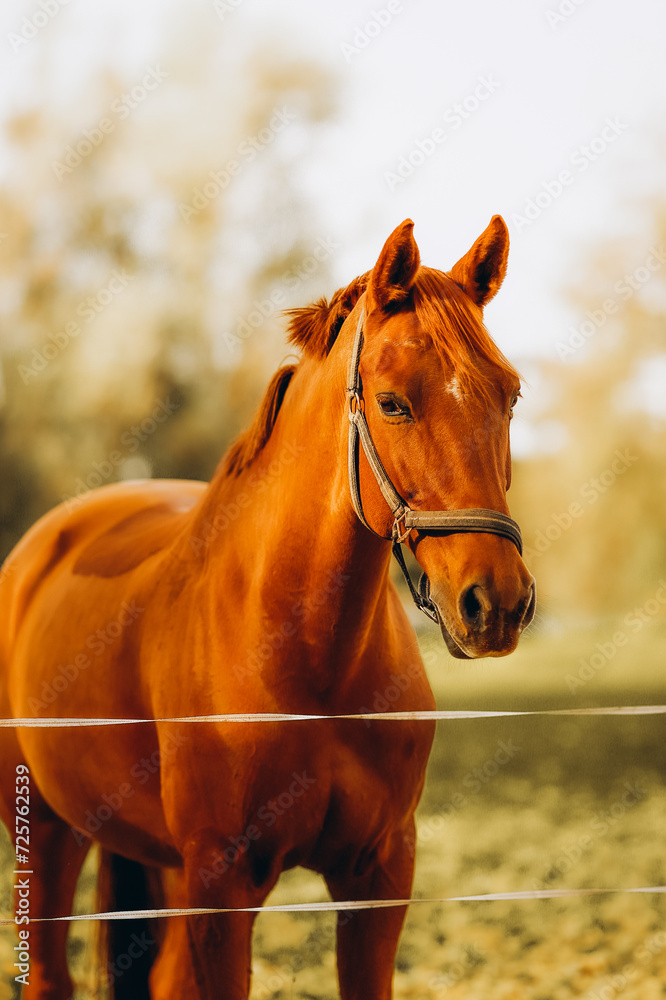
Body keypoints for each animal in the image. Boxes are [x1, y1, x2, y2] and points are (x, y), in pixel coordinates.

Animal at [0, 215, 535, 999]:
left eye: (510, 395)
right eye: (392, 402)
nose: (494, 603)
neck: (310, 663)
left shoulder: (378, 876)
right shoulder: (222, 887)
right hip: (47, 826)